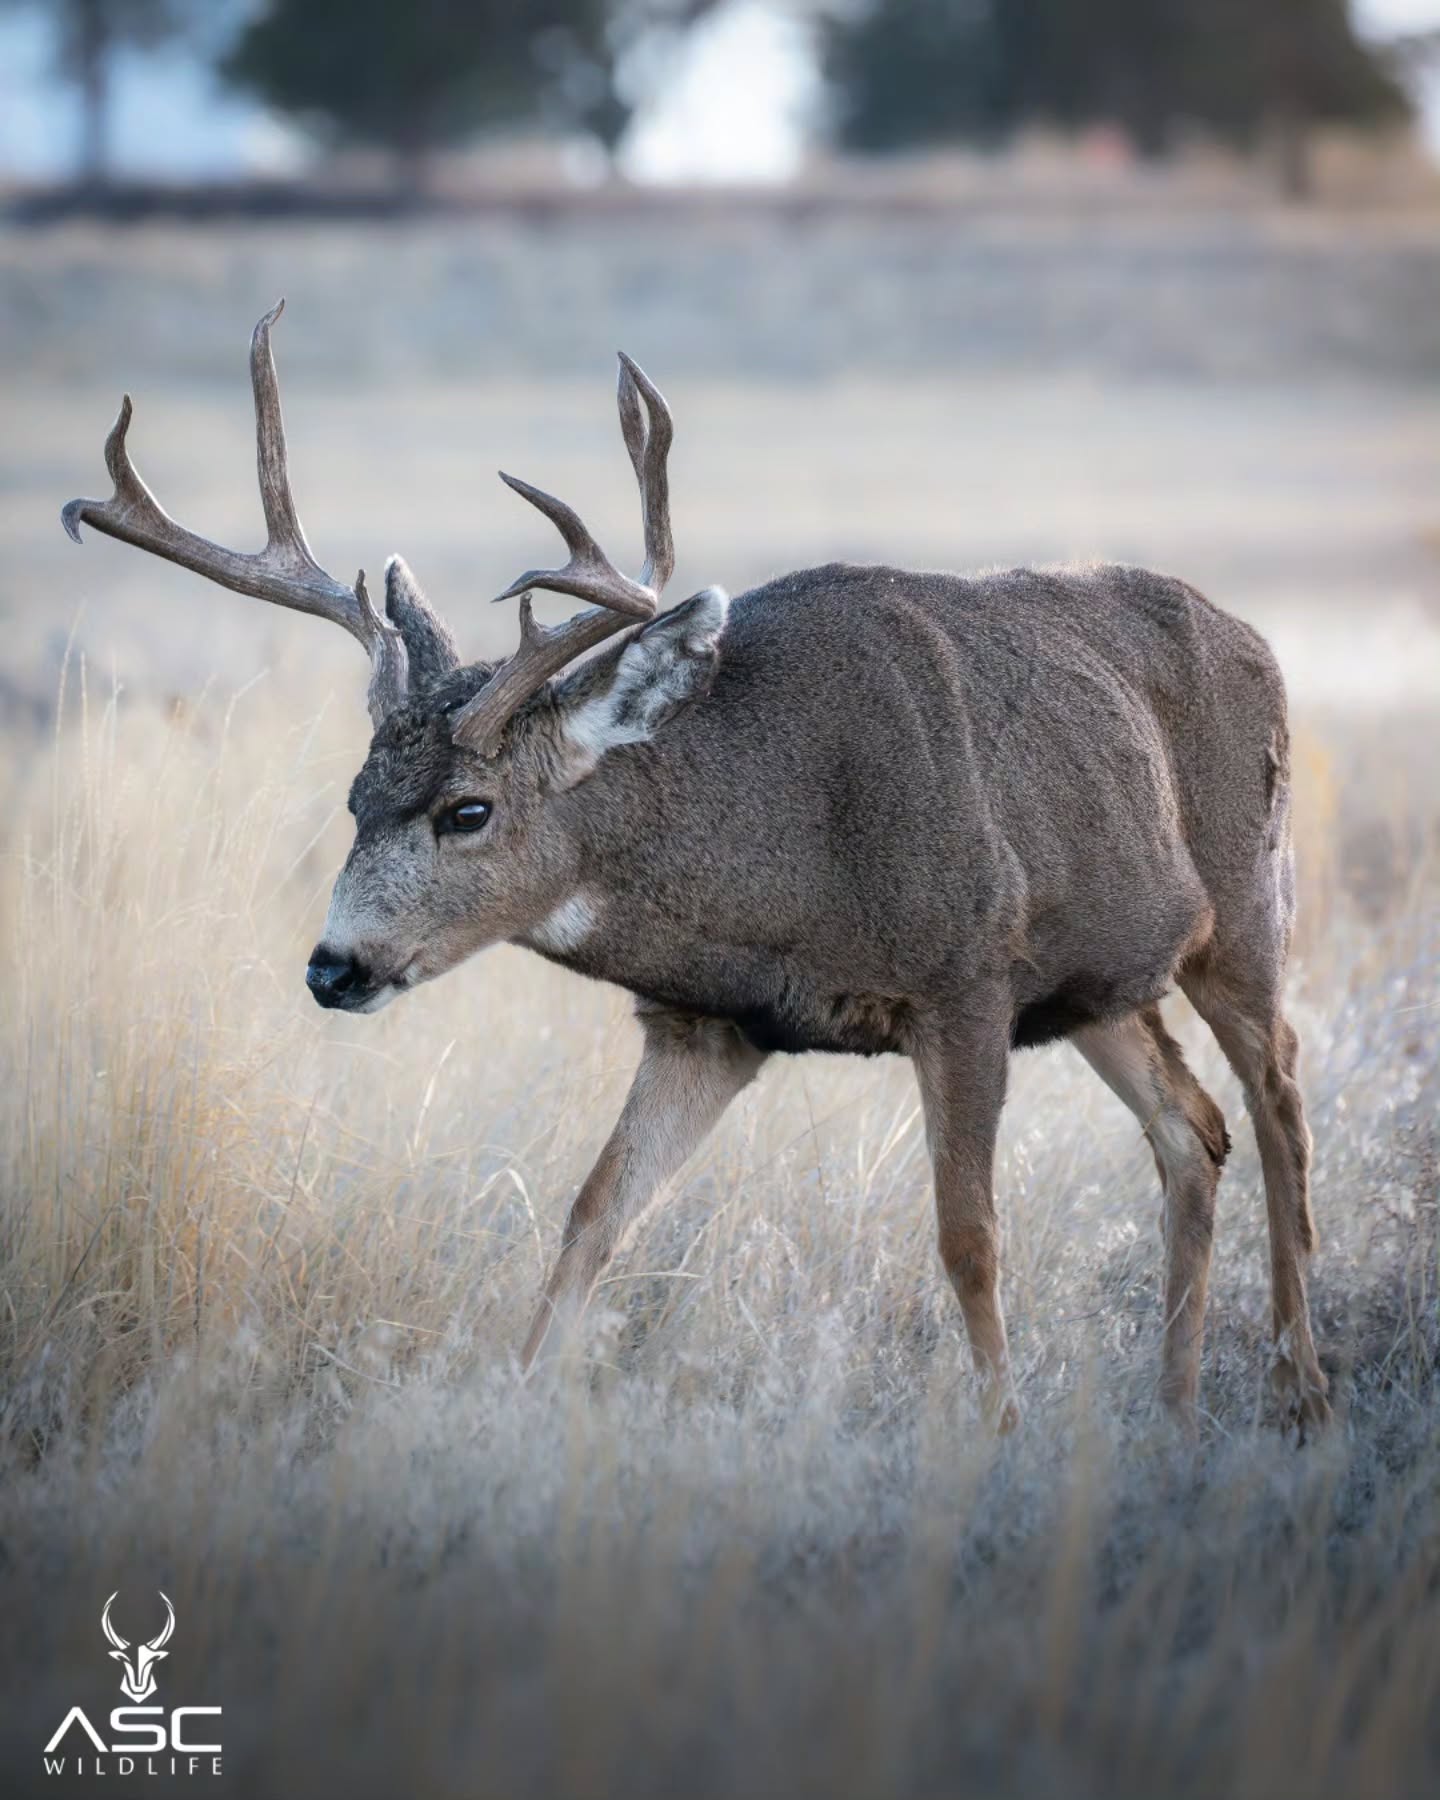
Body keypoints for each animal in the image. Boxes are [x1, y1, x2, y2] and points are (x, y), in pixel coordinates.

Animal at [62, 302, 1331, 1436]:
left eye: (469, 810)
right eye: (355, 800)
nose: (333, 967)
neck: (788, 848)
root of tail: (1258, 639)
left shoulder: (967, 976)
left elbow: (968, 1234)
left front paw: (999, 1433)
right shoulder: (704, 1023)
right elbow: (591, 1215)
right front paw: (511, 1411)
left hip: (1245, 909)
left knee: (1278, 1103)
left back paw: (1297, 1390)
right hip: (1099, 988)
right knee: (1193, 1132)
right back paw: (1172, 1412)